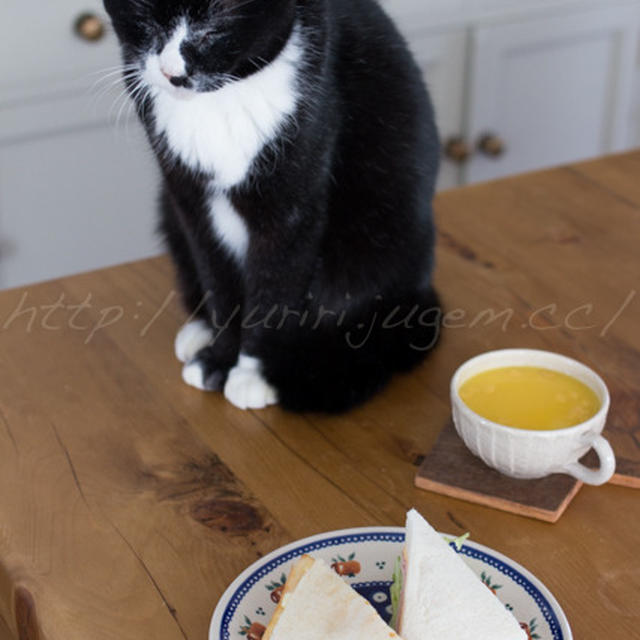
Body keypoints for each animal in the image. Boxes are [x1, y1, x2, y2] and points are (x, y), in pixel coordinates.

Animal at [105, 0, 442, 412]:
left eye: (214, 26)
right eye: (143, 19)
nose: (173, 73)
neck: (221, 103)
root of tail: (420, 294)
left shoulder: (292, 209)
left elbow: (274, 289)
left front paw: (252, 373)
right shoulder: (191, 202)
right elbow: (220, 284)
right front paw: (220, 357)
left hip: (379, 239)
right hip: (168, 214)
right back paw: (199, 332)